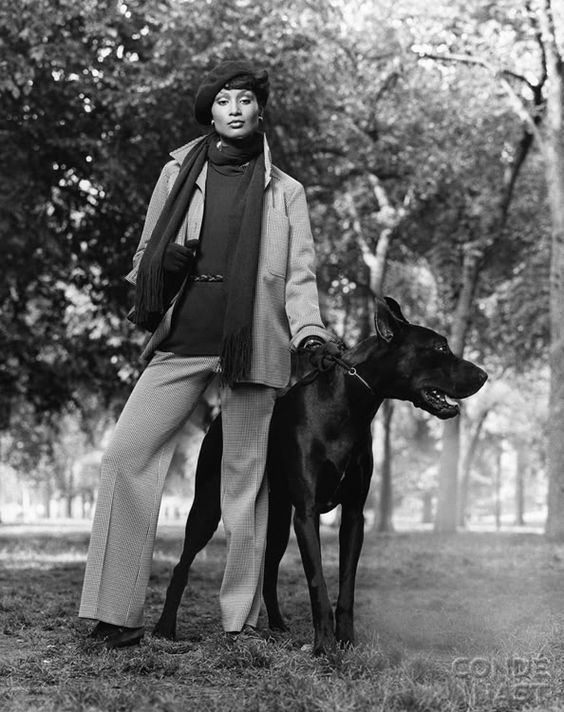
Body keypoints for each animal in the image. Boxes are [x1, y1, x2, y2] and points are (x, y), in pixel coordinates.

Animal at [155, 298, 490, 652]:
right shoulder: (307, 513)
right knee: (182, 565)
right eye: (440, 347)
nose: (484, 375)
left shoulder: (353, 515)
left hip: (277, 519)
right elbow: (318, 582)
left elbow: (346, 585)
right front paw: (324, 646)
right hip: (208, 506)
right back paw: (164, 628)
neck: (348, 407)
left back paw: (277, 625)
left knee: (269, 571)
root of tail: (218, 419)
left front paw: (347, 640)